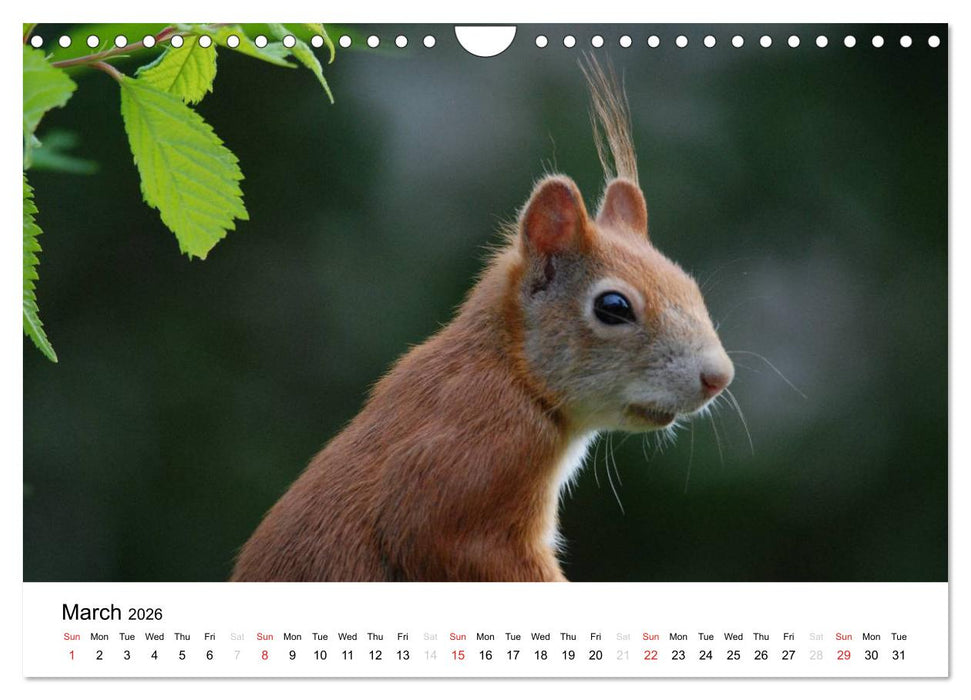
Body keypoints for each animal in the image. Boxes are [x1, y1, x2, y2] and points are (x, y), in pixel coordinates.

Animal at [230, 59, 734, 582]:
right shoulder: (475, 458)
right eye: (613, 307)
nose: (719, 377)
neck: (512, 371)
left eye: (690, 285)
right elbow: (440, 537)